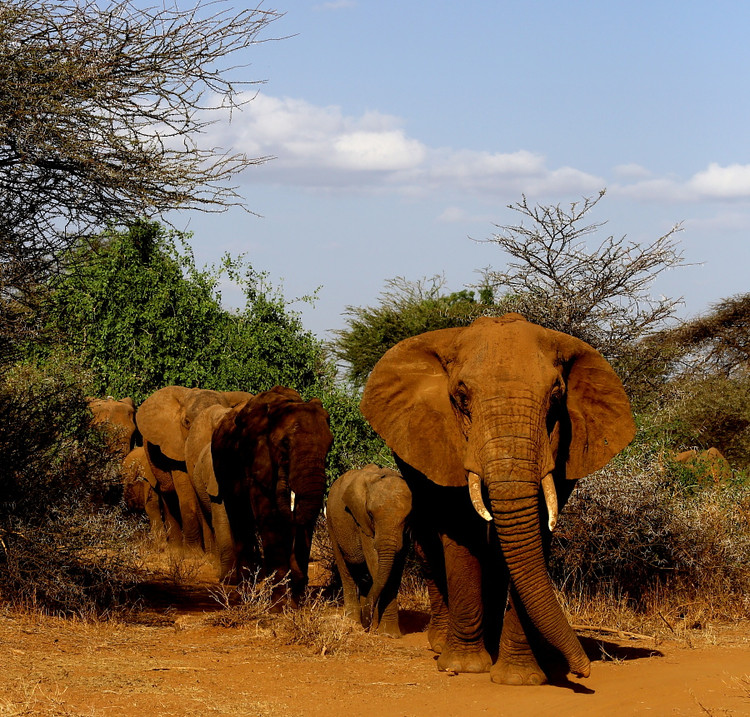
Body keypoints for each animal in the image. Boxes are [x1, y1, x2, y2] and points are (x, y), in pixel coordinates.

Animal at [134, 386, 253, 548]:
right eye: (186, 422)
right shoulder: (174, 445)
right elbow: (186, 492)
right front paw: (194, 553)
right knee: (168, 494)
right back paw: (176, 549)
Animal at [206, 386, 334, 604]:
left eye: (330, 444)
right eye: (284, 445)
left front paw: (296, 601)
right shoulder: (255, 457)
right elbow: (268, 514)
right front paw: (279, 605)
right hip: (222, 466)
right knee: (240, 518)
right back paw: (244, 595)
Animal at [328, 464, 414, 636]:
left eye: (407, 518)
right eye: (370, 515)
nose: (366, 624)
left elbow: (396, 569)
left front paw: (388, 632)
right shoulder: (362, 522)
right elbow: (375, 562)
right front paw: (386, 633)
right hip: (331, 523)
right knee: (345, 569)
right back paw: (353, 620)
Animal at [362, 316, 636, 684]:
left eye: (556, 394)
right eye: (461, 395)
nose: (583, 672)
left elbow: (535, 535)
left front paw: (519, 678)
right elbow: (462, 532)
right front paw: (463, 667)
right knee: (432, 546)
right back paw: (441, 644)